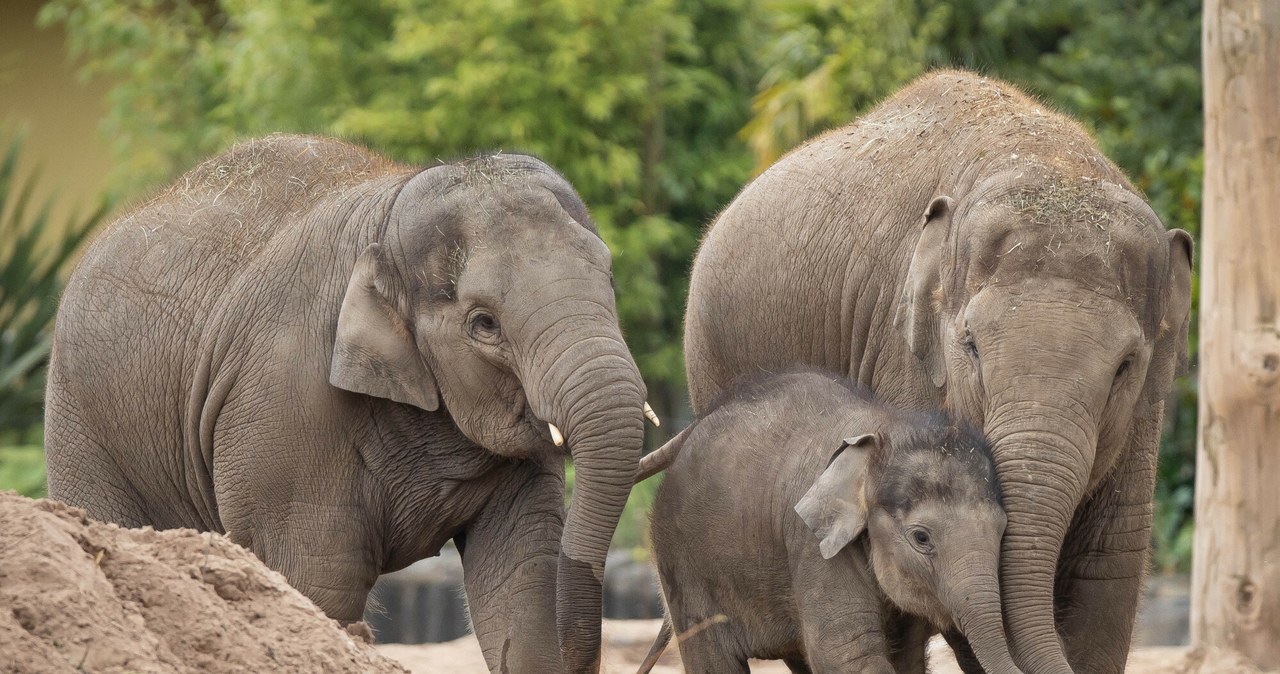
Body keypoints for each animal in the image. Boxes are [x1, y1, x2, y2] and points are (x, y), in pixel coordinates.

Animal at [47, 134, 650, 670]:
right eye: (484, 323)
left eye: (610, 277)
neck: (390, 209)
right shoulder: (285, 405)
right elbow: (317, 579)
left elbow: (522, 579)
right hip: (84, 423)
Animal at [637, 370, 1018, 670]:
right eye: (921, 538)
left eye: (1002, 531)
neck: (884, 429)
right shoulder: (813, 545)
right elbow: (847, 654)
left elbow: (905, 657)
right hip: (683, 568)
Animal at [686, 71, 1192, 670]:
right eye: (969, 346)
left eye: (1125, 367)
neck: (1047, 158)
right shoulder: (903, 357)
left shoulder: (1142, 416)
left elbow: (1109, 568)